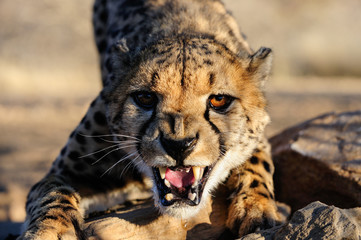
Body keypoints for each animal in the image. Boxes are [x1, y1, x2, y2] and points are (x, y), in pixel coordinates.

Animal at [19, 0, 282, 238]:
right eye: (145, 97)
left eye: (218, 100)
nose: (178, 145)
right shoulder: (65, 170)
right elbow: (52, 191)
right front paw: (49, 230)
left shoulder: (259, 137)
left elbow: (257, 165)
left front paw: (255, 208)